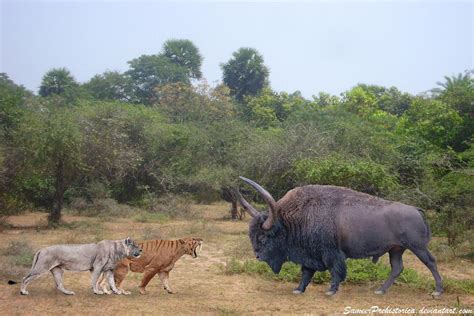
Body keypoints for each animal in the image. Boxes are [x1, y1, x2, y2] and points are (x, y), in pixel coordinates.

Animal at [239, 177, 442, 298]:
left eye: (264, 238)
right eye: (252, 236)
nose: (257, 256)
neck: (290, 220)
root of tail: (415, 209)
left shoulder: (330, 253)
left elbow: (335, 271)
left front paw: (331, 290)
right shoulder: (311, 255)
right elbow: (306, 272)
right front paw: (298, 289)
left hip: (417, 247)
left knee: (431, 262)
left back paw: (437, 291)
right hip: (396, 250)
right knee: (397, 268)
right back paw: (380, 290)